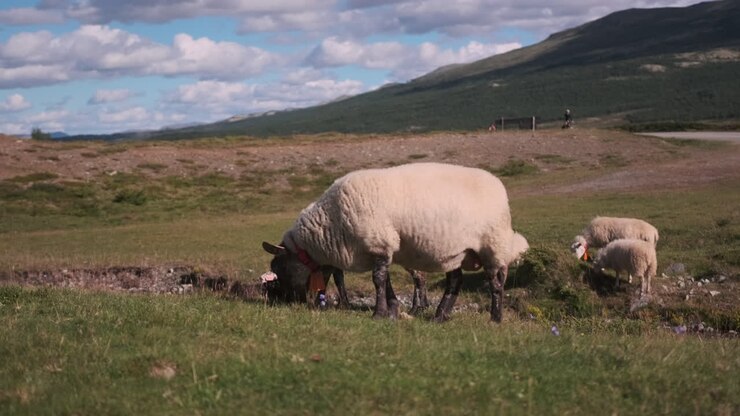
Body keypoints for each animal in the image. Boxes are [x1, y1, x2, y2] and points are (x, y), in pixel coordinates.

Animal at [262, 162, 515, 322]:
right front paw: (391, 311)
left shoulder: (380, 241)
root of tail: (499, 185)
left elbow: (378, 280)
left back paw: (495, 317)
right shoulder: (380, 247)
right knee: (455, 281)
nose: (286, 302)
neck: (332, 221)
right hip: (454, 251)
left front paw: (378, 313)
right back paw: (440, 316)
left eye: (279, 267)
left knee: (495, 281)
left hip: (492, 244)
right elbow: (386, 281)